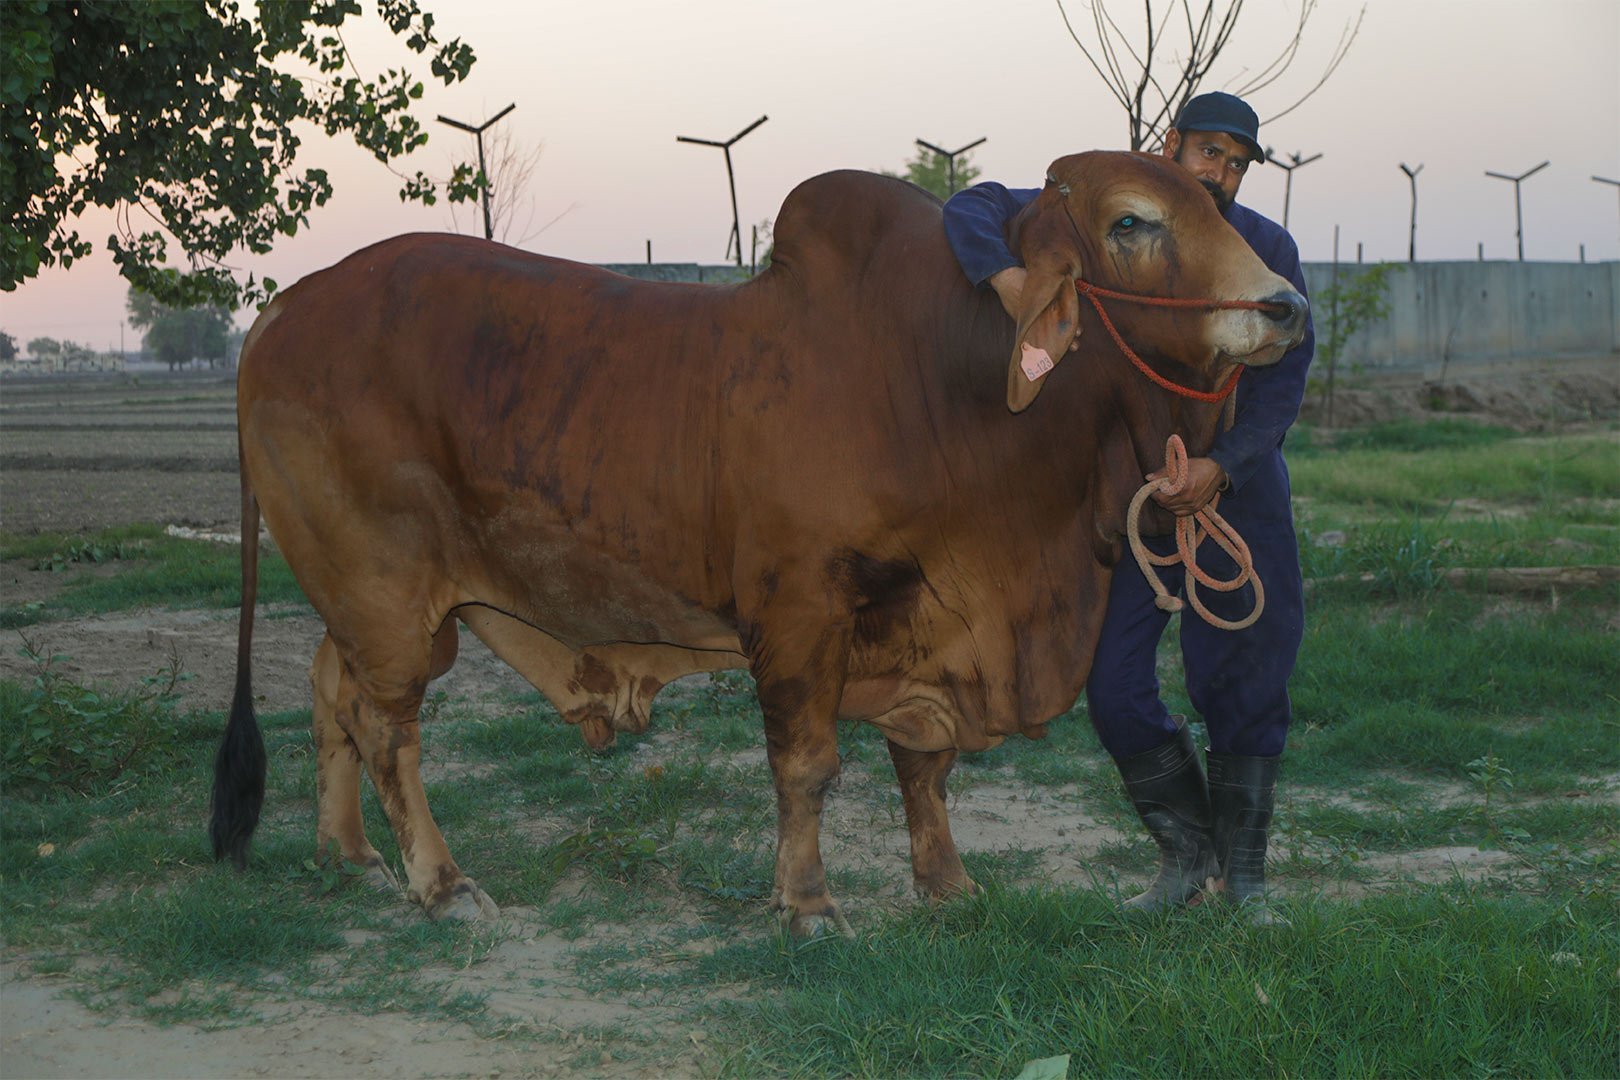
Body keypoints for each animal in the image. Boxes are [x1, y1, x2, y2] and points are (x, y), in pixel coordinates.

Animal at [211, 150, 1307, 936]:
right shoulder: (801, 611)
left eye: (1220, 203)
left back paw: (347, 854)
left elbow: (926, 765)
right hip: (387, 590)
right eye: (1132, 221)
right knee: (387, 726)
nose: (1288, 304)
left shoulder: (926, 625)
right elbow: (808, 765)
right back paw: (440, 885)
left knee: (330, 691)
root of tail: (282, 308)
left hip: (368, 600)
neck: (944, 379)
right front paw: (808, 907)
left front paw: (948, 886)